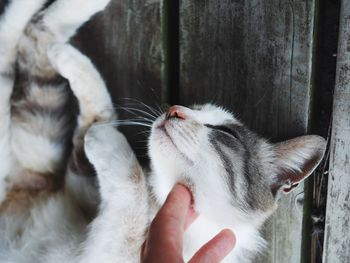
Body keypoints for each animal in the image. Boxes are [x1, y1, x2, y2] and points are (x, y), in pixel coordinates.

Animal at [0, 0, 326, 263]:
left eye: (226, 133)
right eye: (193, 106)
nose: (174, 110)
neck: (158, 200)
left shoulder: (108, 252)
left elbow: (127, 196)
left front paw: (107, 140)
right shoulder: (83, 190)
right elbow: (101, 113)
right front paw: (72, 63)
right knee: (28, 39)